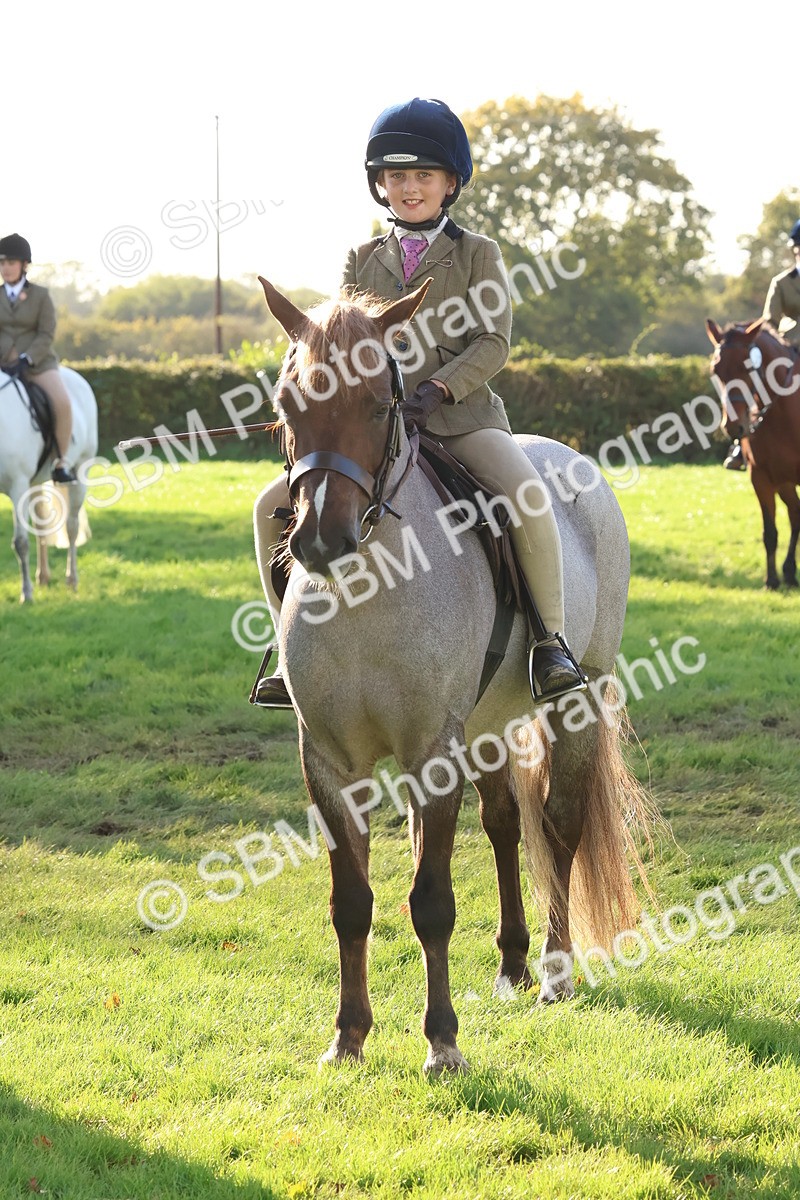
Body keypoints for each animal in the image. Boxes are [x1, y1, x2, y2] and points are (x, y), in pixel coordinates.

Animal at [0, 366, 98, 602]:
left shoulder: (18, 486)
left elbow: (20, 542)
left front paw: (26, 594)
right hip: (34, 483)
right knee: (42, 526)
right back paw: (43, 576)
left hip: (79, 473)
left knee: (72, 527)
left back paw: (71, 580)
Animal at [258, 276, 654, 1074]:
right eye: (288, 404)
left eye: (379, 402)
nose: (318, 541)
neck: (367, 589)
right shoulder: (329, 761)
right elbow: (352, 903)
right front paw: (347, 1038)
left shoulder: (429, 753)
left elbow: (431, 901)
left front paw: (442, 1043)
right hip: (487, 725)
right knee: (505, 824)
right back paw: (512, 966)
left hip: (577, 701)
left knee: (559, 825)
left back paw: (555, 975)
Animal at [706, 318, 800, 589]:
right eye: (716, 371)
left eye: (747, 368)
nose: (733, 427)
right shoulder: (761, 478)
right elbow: (770, 532)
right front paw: (772, 580)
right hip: (785, 482)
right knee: (795, 514)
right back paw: (789, 572)